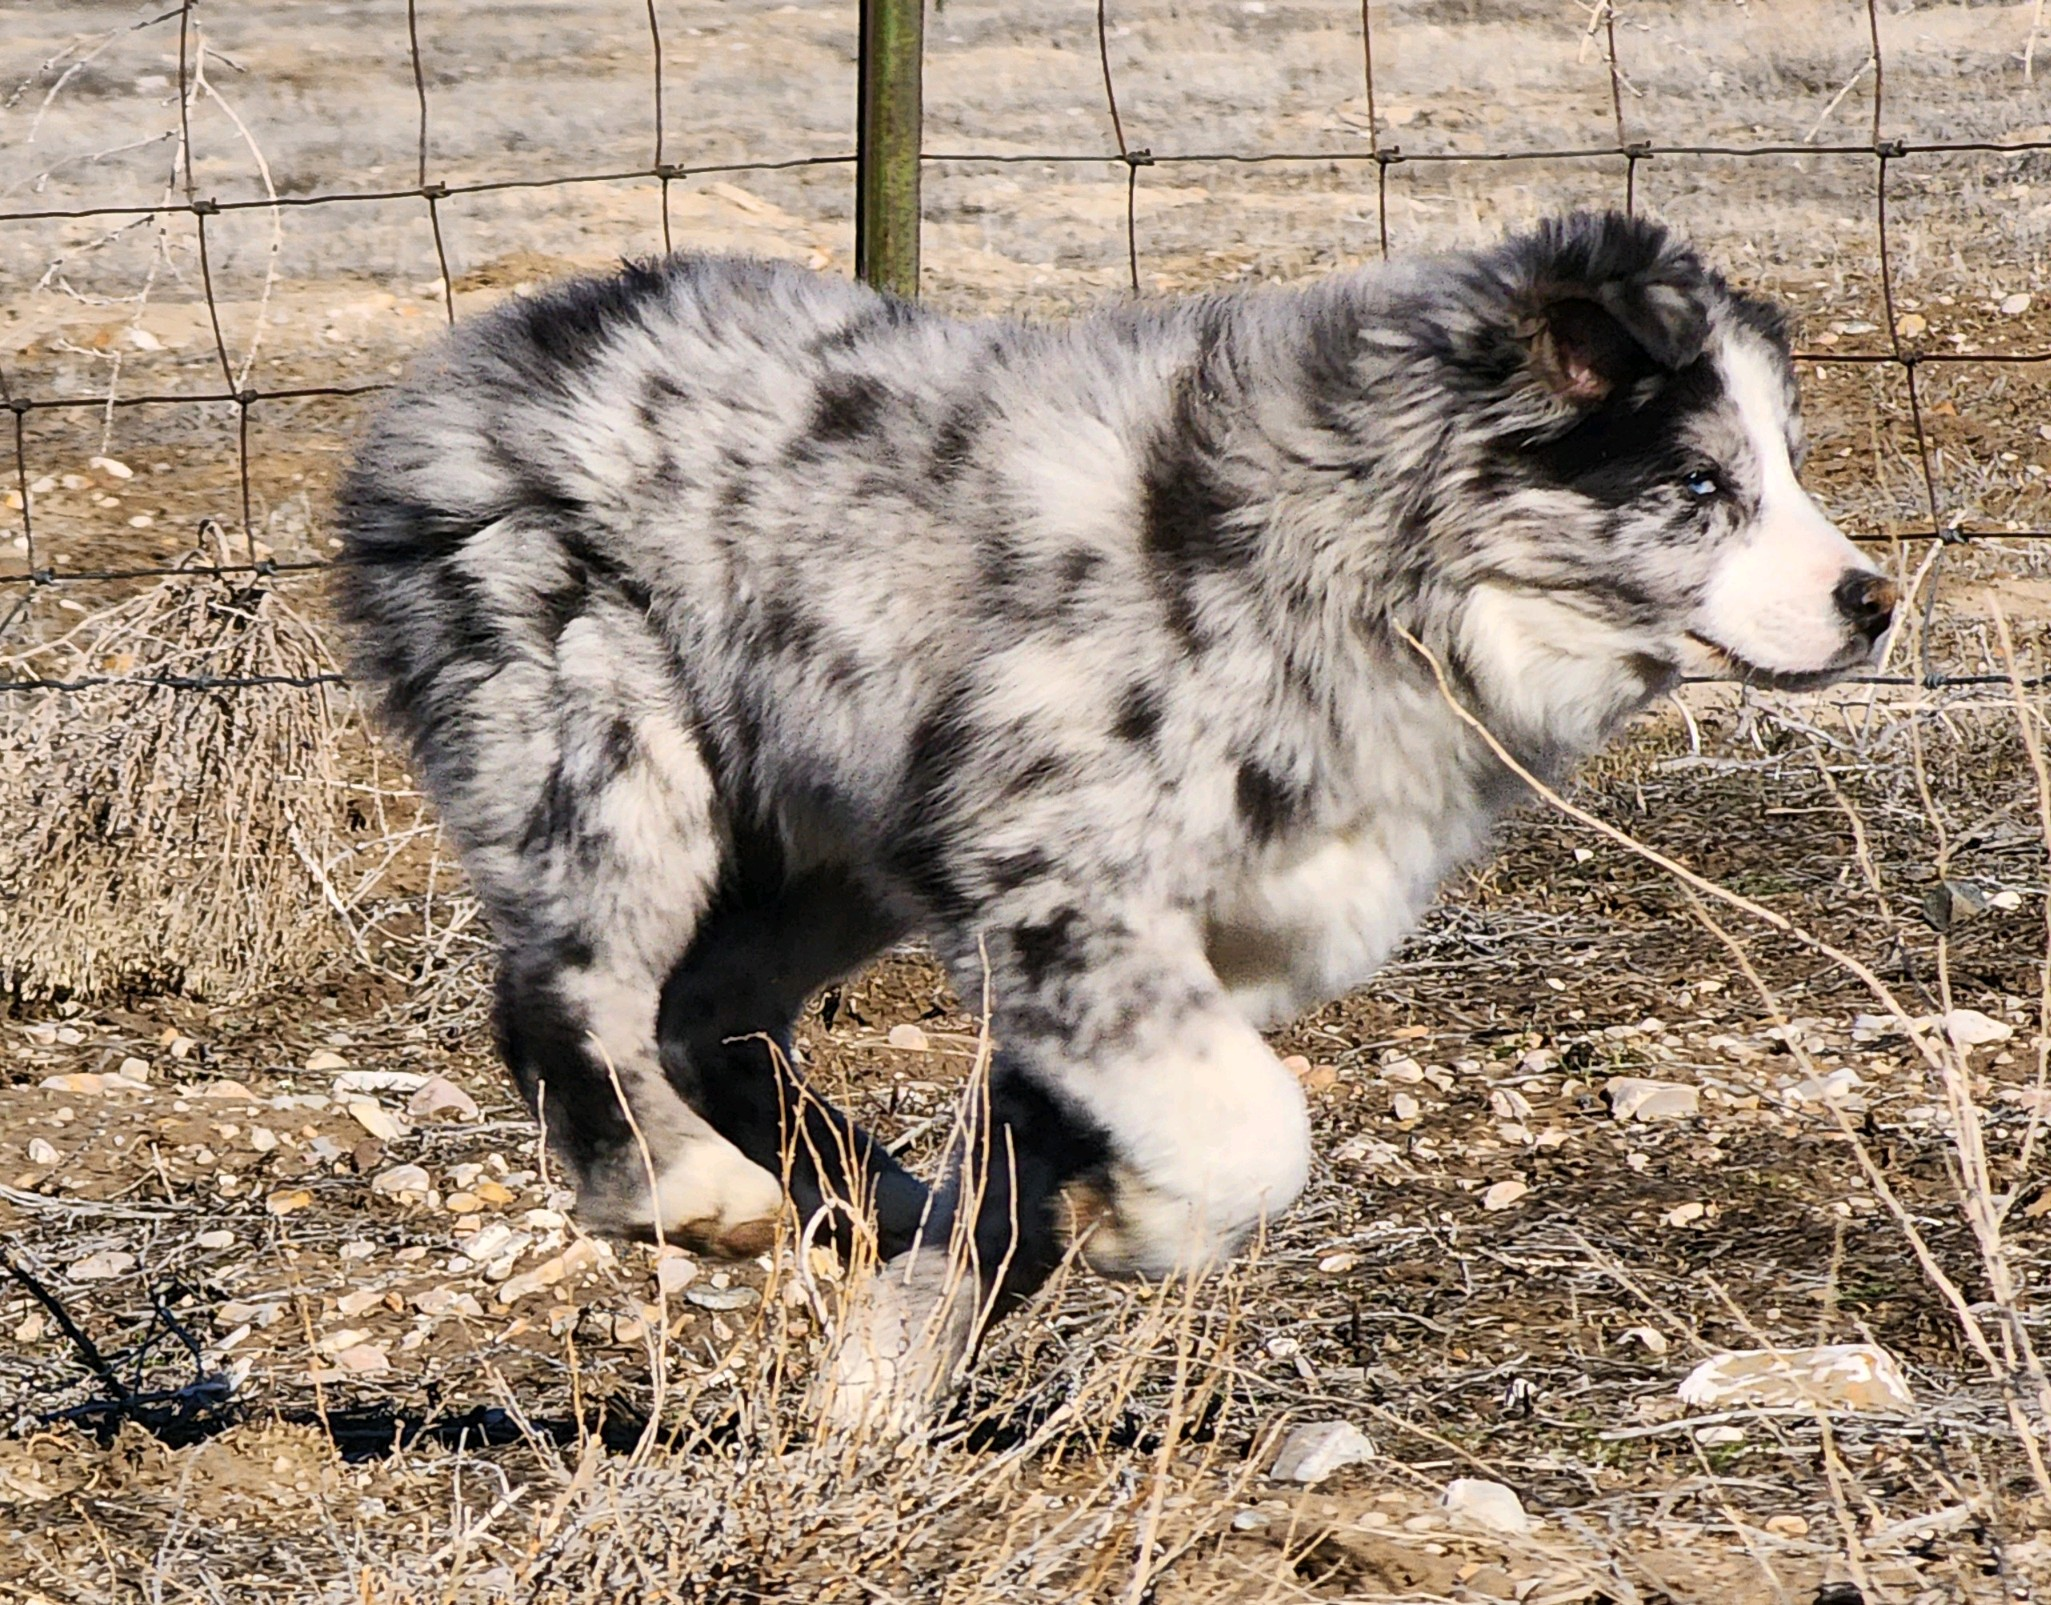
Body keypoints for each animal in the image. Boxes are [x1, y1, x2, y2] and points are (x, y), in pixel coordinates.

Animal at [336, 207, 1886, 1426]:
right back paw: (685, 1192)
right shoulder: (1054, 880)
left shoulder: (1162, 946)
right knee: (566, 990)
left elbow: (1036, 1162)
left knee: (704, 1007)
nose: (1870, 602)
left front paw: (891, 1378)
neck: (1358, 556)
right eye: (1697, 487)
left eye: (1785, 468)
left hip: (831, 841)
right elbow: (1258, 1130)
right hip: (605, 741)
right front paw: (1139, 1233)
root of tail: (454, 380)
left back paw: (866, 1194)